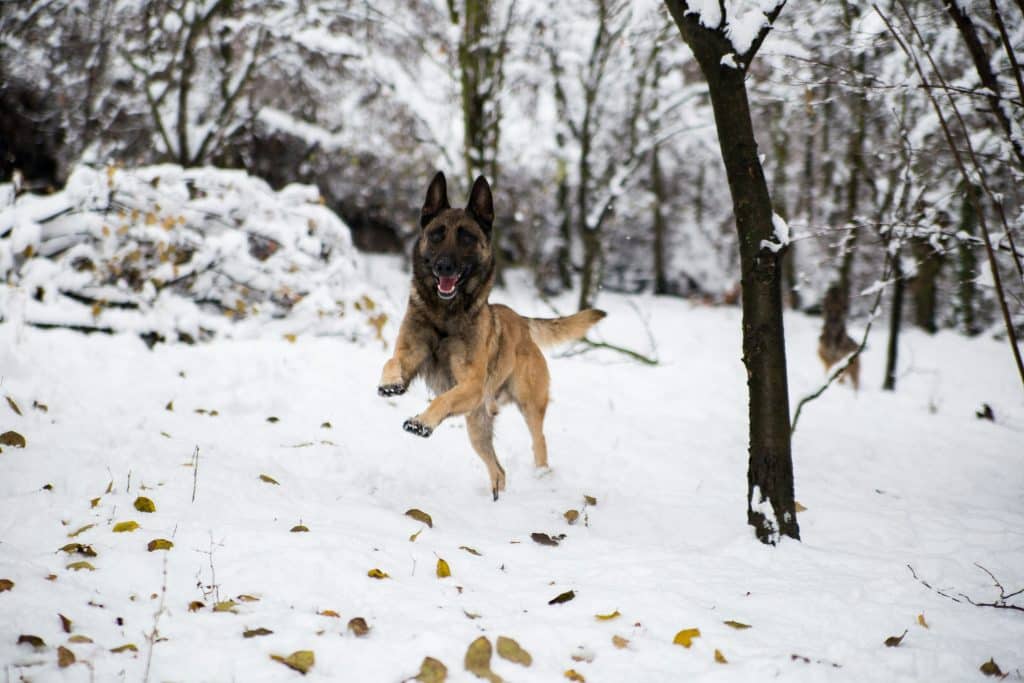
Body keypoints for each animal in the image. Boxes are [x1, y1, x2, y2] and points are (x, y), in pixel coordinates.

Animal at [378, 172, 602, 497]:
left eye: (467, 238)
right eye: (437, 234)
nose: (444, 266)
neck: (445, 316)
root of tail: (521, 321)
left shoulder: (470, 385)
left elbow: (441, 400)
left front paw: (422, 422)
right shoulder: (410, 354)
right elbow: (392, 361)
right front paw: (390, 383)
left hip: (528, 407)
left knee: (539, 441)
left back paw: (541, 476)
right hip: (476, 424)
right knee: (498, 470)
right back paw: (496, 497)